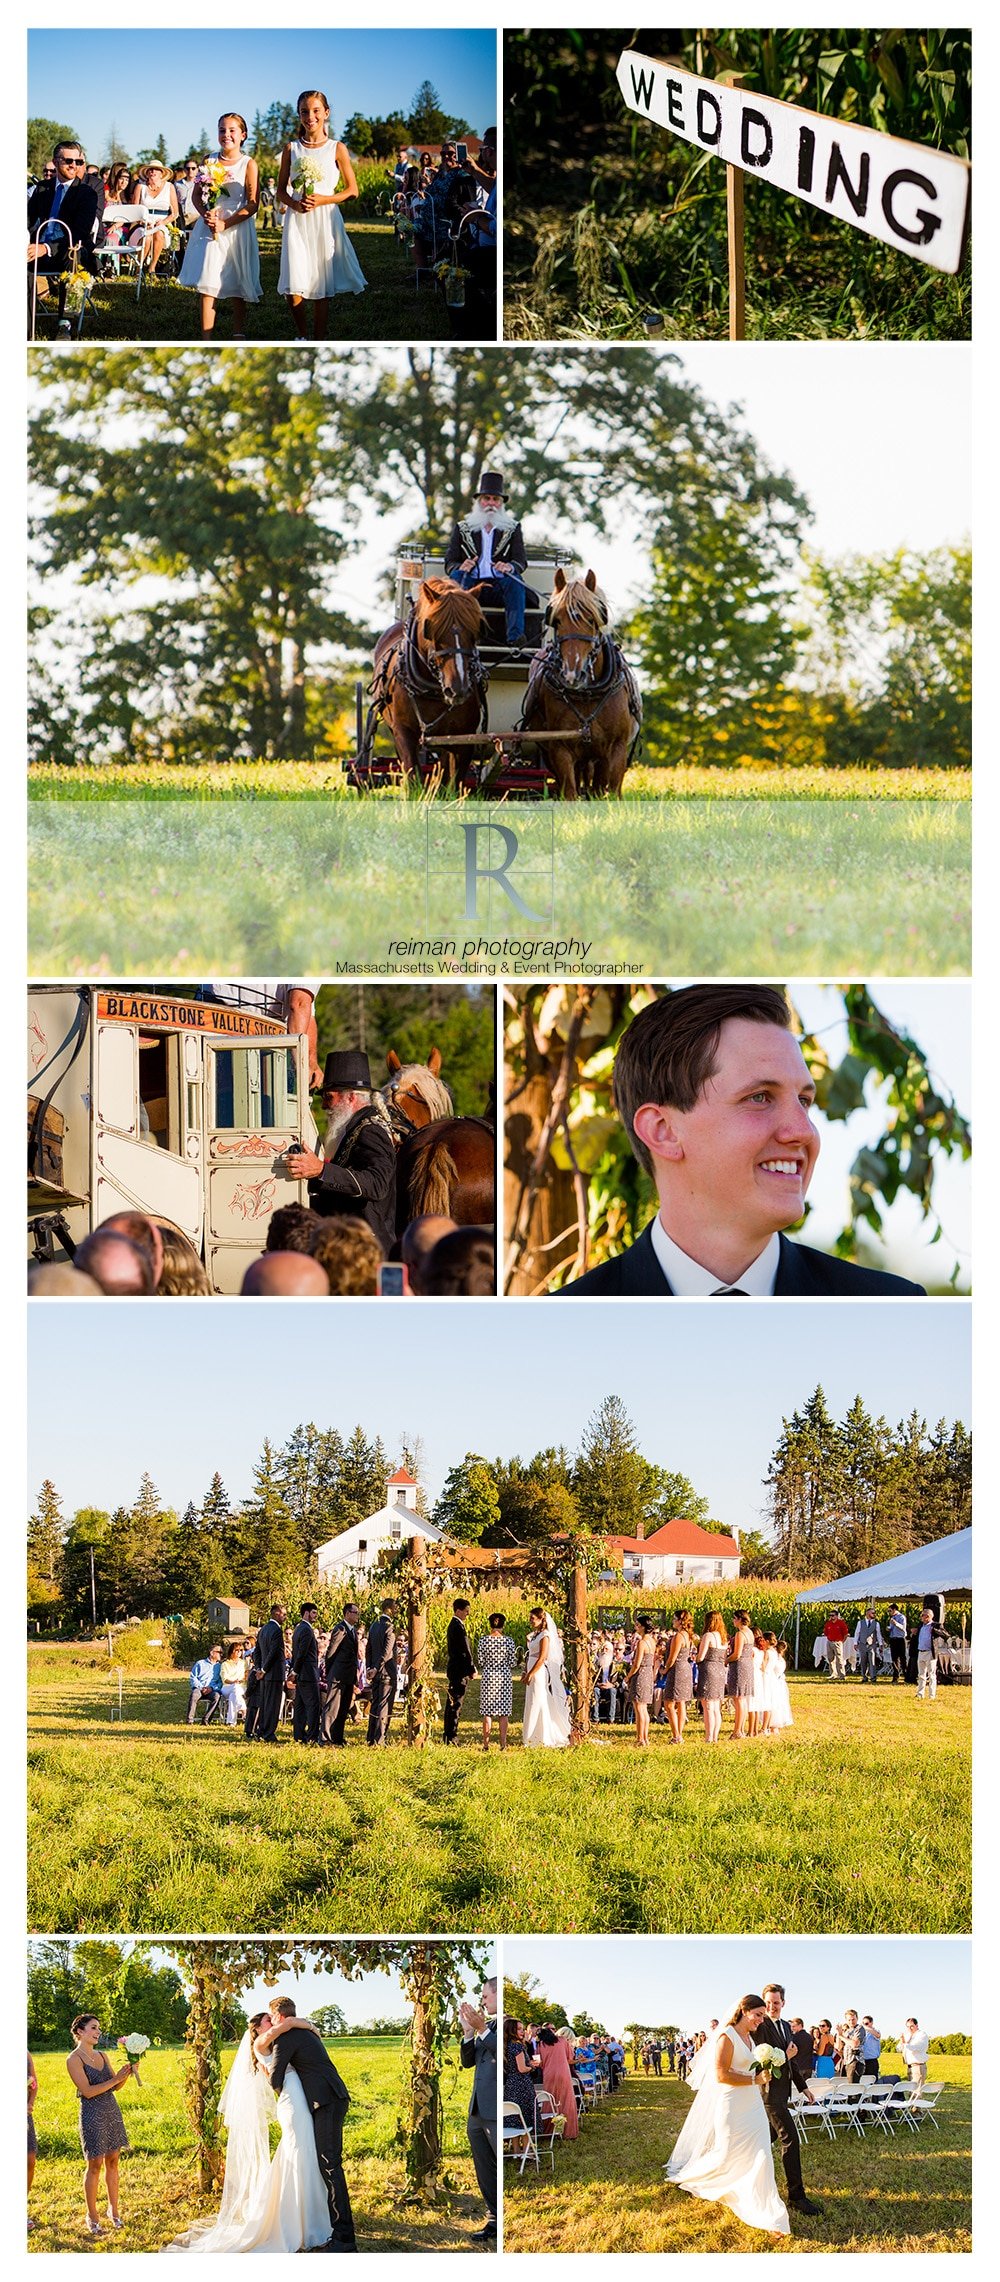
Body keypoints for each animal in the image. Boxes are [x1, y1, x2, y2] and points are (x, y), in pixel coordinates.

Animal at [372, 579, 488, 785]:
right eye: (433, 632)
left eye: (474, 633)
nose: (457, 689)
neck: (433, 691)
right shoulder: (403, 732)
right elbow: (413, 775)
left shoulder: (463, 738)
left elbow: (452, 782)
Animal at [515, 570, 639, 803]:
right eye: (557, 621)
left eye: (591, 619)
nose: (573, 674)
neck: (588, 695)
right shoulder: (559, 748)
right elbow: (570, 792)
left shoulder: (616, 748)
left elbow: (611, 789)